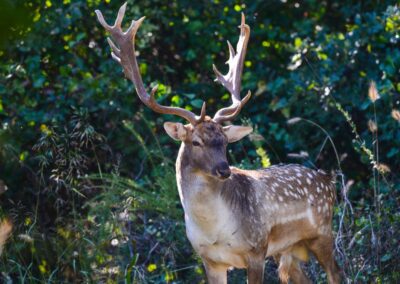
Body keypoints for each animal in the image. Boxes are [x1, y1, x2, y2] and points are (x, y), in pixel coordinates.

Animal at [96, 3, 340, 282]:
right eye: (196, 142)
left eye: (224, 141)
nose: (224, 170)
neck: (214, 232)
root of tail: (328, 180)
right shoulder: (209, 259)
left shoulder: (256, 249)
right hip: (288, 249)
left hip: (322, 232)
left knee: (337, 273)